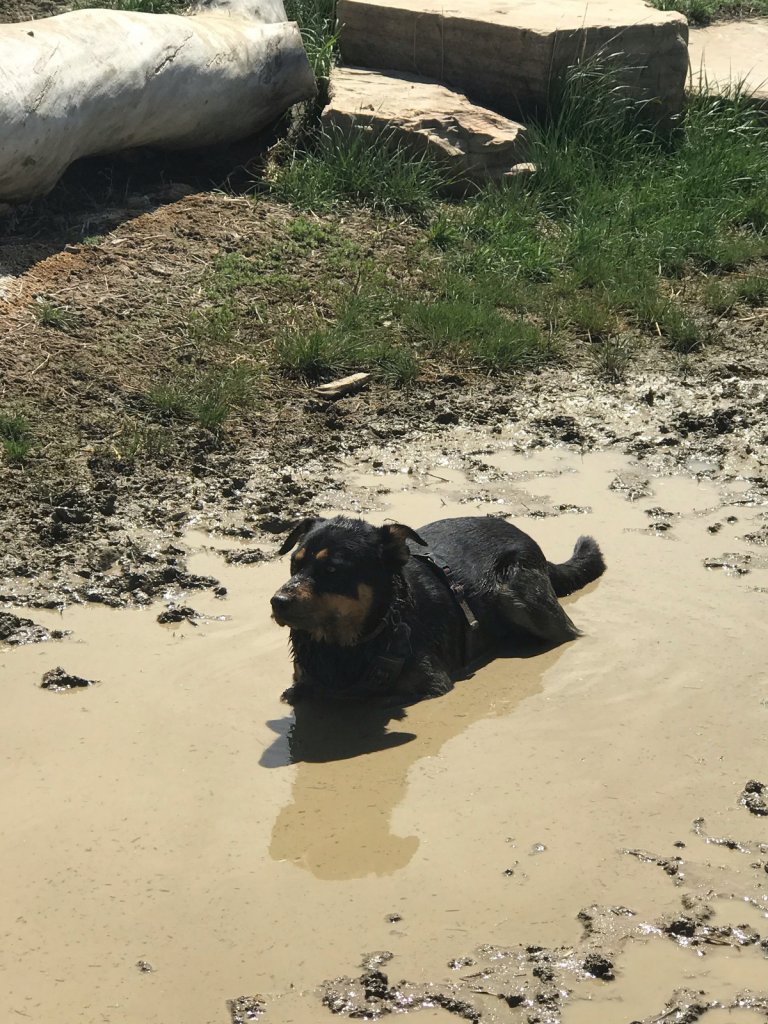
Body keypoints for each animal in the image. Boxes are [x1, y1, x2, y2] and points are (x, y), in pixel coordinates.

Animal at [272, 520, 606, 704]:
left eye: (332, 570)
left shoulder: (431, 686)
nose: (278, 601)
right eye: (294, 565)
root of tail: (534, 545)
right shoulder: (300, 683)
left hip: (519, 592)